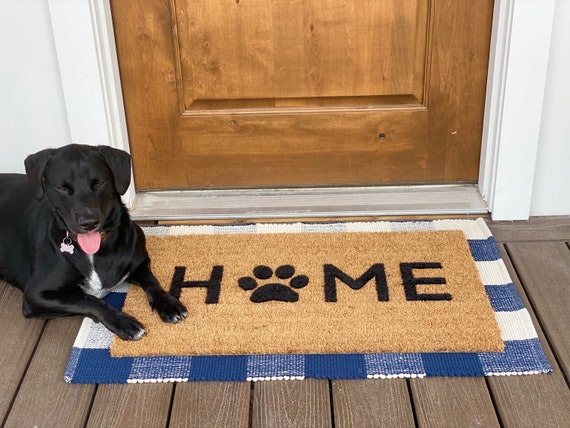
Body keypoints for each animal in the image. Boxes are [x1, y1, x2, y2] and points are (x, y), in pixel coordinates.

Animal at [0, 145, 186, 340]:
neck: (97, 251)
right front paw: (123, 322)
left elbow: (152, 281)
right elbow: (89, 299)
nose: (88, 223)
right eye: (61, 188)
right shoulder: (35, 295)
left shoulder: (139, 263)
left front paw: (167, 303)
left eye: (99, 183)